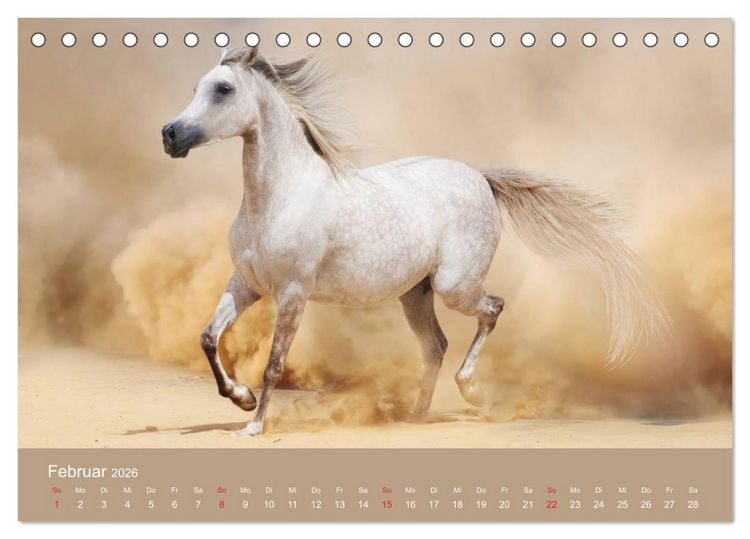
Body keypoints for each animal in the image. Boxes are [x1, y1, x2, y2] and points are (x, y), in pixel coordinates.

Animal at [161, 46, 668, 436]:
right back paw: (417, 415)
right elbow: (208, 337)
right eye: (196, 88)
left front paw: (254, 425)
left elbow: (273, 363)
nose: (170, 135)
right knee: (436, 345)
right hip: (415, 294)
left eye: (223, 90)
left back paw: (471, 391)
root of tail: (480, 177)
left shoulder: (292, 294)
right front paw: (241, 399)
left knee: (492, 309)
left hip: (454, 286)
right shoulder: (247, 285)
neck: (282, 196)